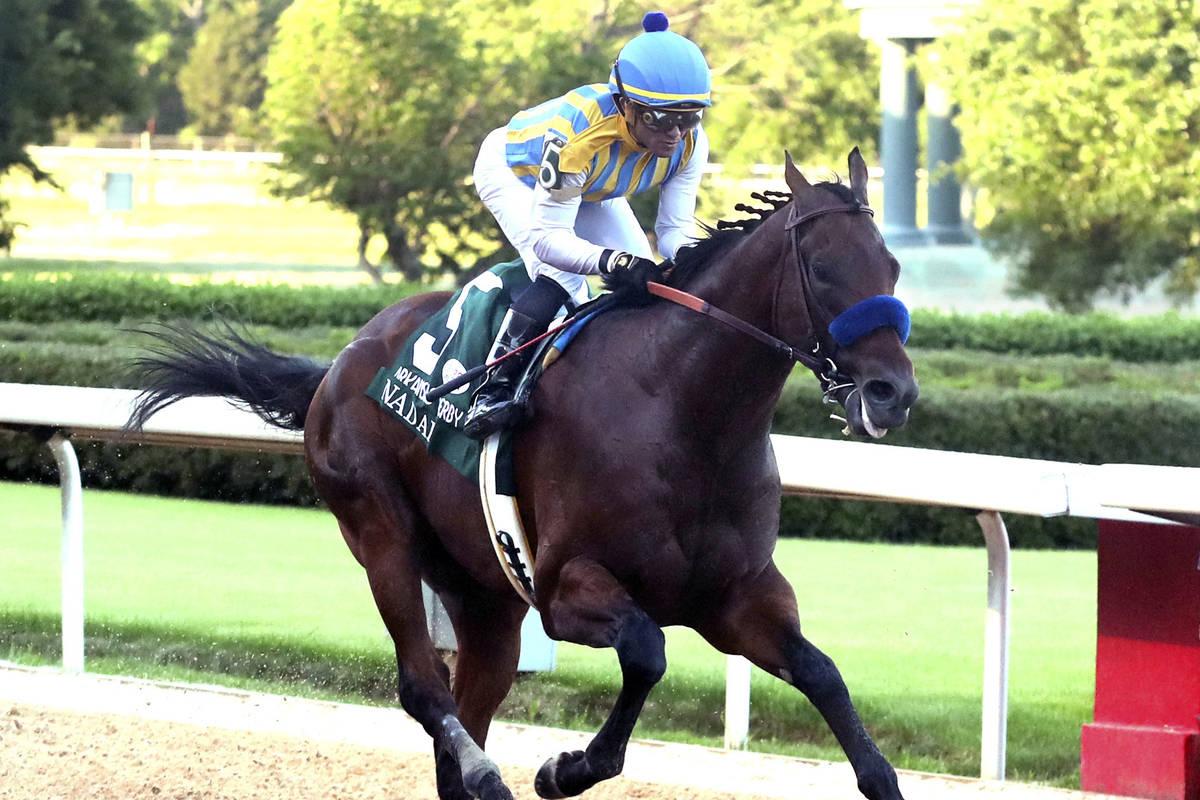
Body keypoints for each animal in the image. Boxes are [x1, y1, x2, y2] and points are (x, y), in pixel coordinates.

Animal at [126, 148, 916, 800]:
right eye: (823, 269)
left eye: (893, 266)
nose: (893, 393)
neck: (686, 416)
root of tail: (341, 361)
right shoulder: (567, 588)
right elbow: (648, 652)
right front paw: (564, 769)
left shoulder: (737, 597)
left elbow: (824, 677)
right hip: (380, 530)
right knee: (425, 690)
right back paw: (488, 773)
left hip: (483, 595)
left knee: (466, 705)